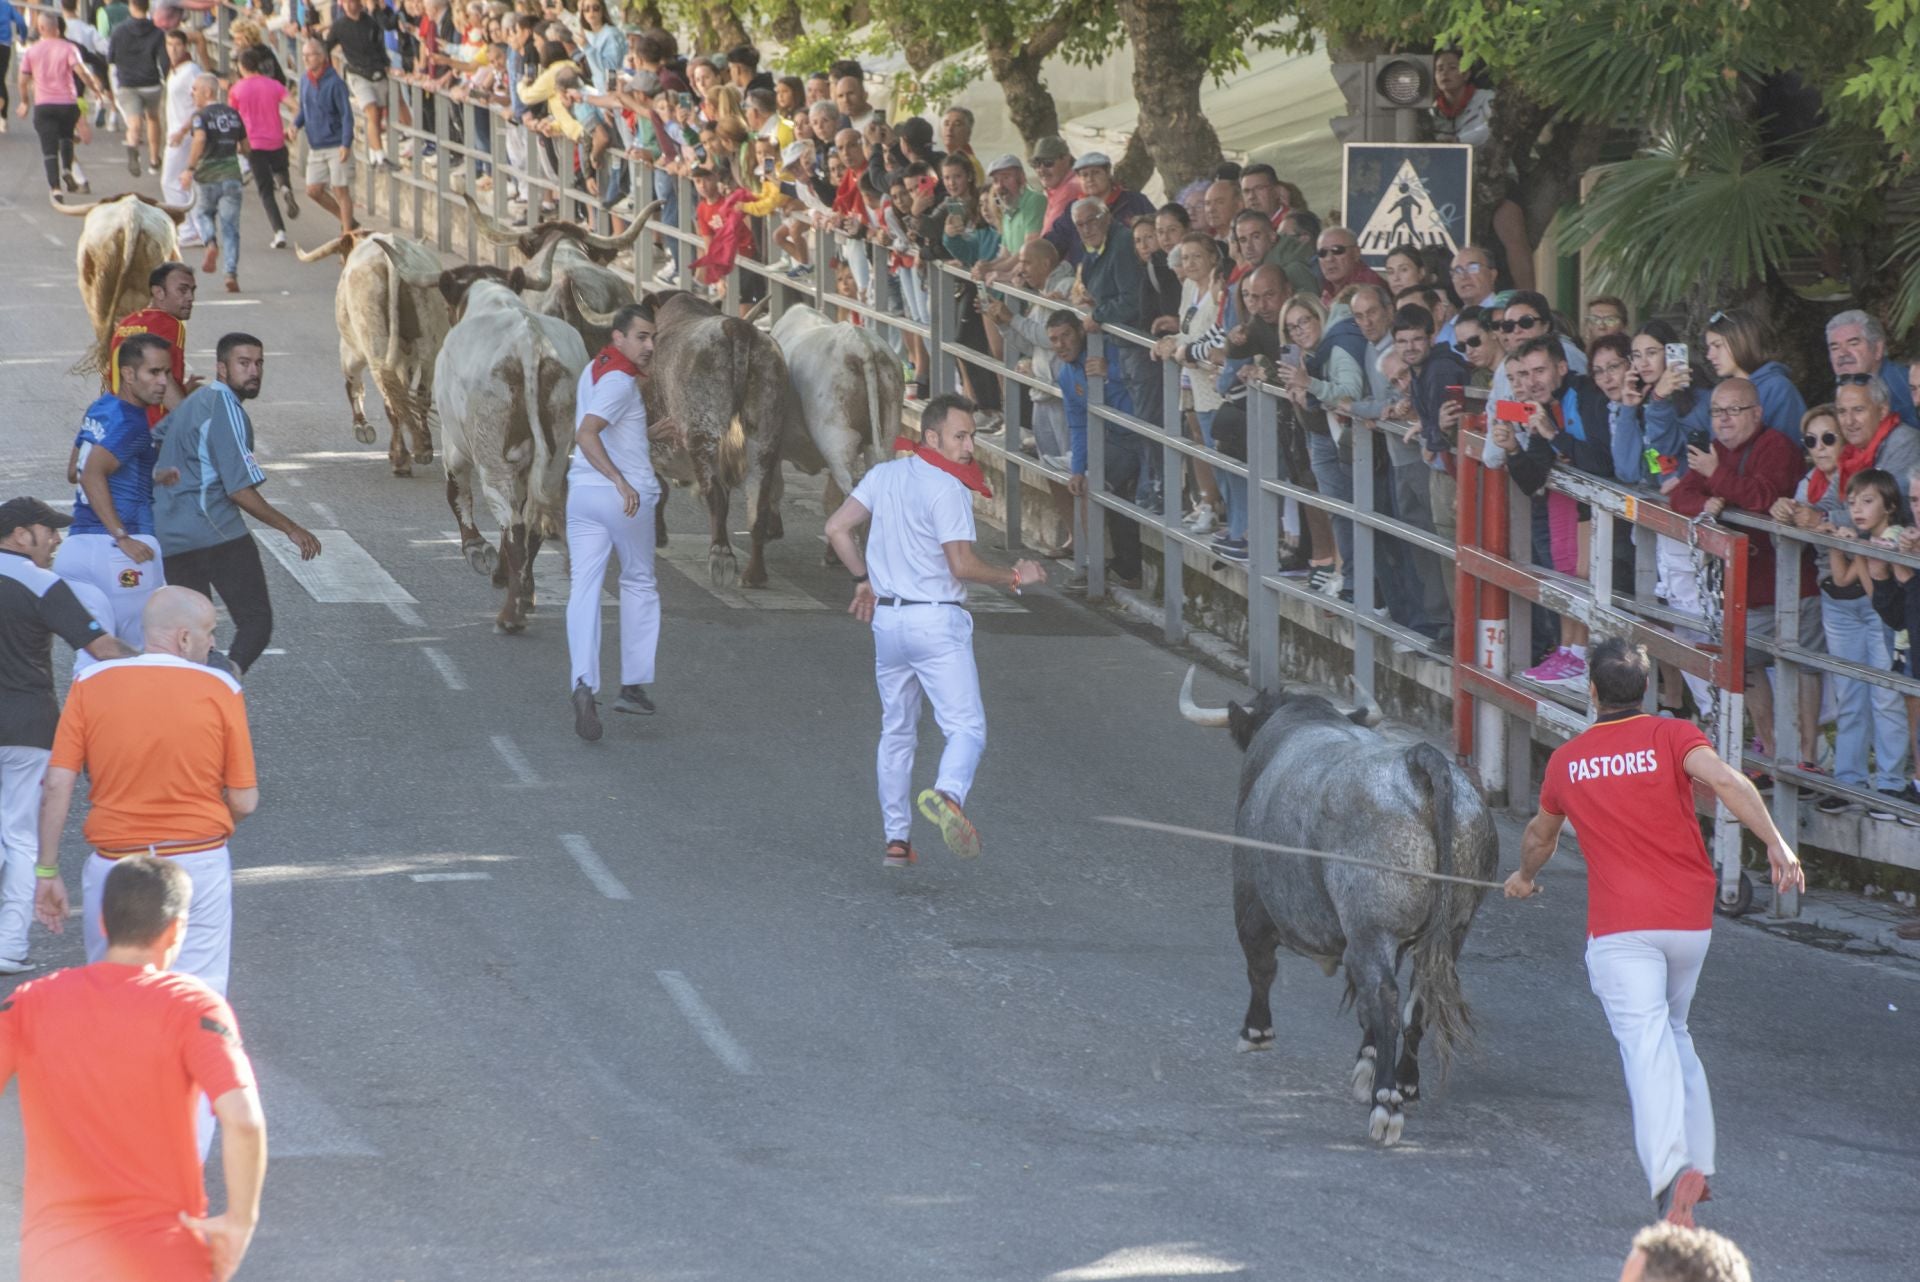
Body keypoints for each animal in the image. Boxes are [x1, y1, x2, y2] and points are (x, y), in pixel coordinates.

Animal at [1167, 667, 1497, 1143]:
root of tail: (1418, 762)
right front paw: (1367, 1059)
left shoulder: (1250, 903)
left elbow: (1261, 967)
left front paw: (1256, 1032)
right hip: (1451, 931)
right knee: (1417, 998)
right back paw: (1405, 1083)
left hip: (1372, 928)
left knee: (1385, 995)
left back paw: (1385, 1106)